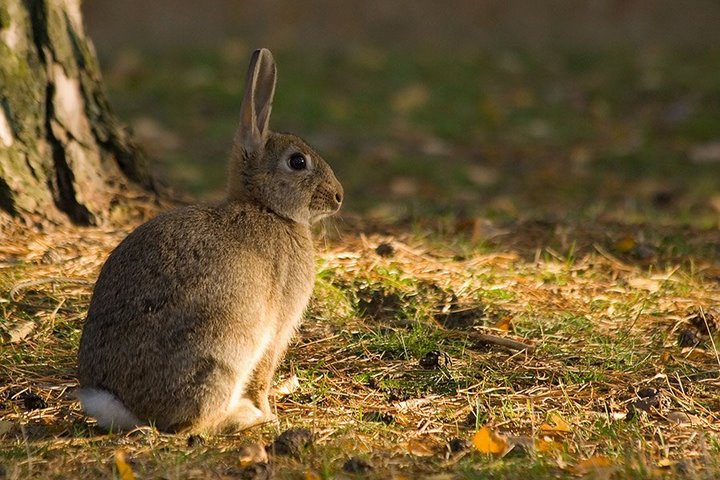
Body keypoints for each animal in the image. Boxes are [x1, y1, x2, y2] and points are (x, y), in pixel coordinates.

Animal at [76, 49, 344, 436]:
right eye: (297, 161)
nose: (339, 196)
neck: (265, 207)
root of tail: (122, 406)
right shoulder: (276, 329)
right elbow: (263, 378)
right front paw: (271, 415)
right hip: (223, 351)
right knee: (192, 424)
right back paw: (244, 417)